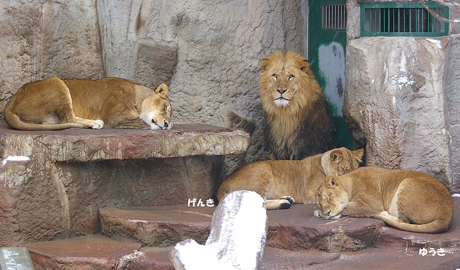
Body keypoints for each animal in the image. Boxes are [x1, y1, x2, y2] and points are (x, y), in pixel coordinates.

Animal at [3, 77, 172, 131]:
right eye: (165, 108)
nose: (166, 124)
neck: (138, 97)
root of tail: (10, 102)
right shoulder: (114, 117)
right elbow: (142, 122)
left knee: (53, 122)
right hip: (57, 82)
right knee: (68, 118)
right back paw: (94, 123)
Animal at [216, 148, 362, 209]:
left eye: (356, 168)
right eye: (345, 170)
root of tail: (222, 185)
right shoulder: (309, 194)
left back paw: (287, 199)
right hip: (262, 170)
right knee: (259, 200)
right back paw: (284, 203)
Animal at [314, 166, 454, 233]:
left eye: (329, 197)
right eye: (320, 205)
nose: (327, 214)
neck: (349, 184)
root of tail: (447, 214)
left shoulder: (371, 205)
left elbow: (349, 207)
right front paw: (318, 212)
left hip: (407, 182)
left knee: (403, 221)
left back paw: (383, 214)